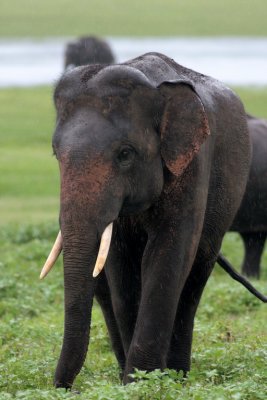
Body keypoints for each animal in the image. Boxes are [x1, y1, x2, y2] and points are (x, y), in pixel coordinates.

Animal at [39, 51, 251, 390]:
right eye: (56, 155)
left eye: (125, 154)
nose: (62, 388)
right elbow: (120, 267)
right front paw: (136, 382)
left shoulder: (192, 165)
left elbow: (169, 253)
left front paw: (142, 381)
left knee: (195, 277)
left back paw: (177, 375)